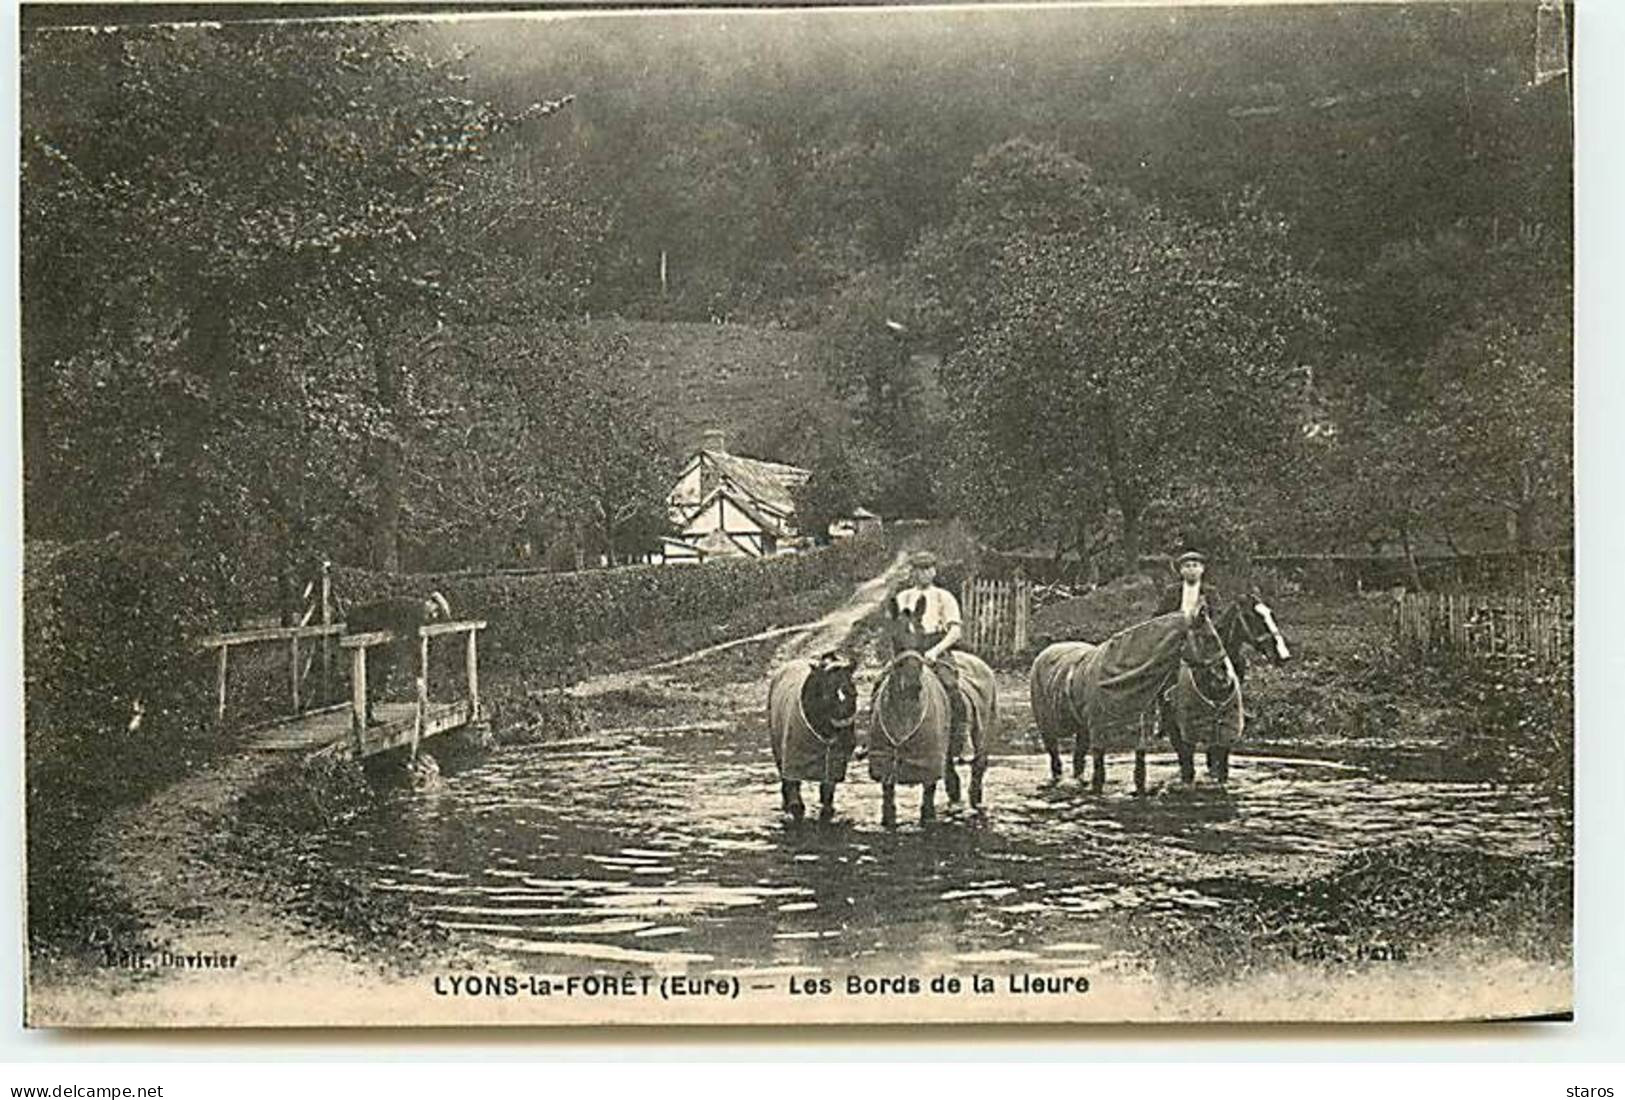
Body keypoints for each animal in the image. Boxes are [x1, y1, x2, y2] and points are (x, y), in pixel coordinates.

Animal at [763, 646, 858, 818]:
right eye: (827, 695)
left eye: (854, 694)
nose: (849, 741)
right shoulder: (792, 759)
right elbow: (793, 789)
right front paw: (794, 807)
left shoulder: (833, 765)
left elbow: (828, 792)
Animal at [871, 601, 994, 825]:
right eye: (894, 637)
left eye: (921, 635)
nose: (911, 684)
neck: (906, 712)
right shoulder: (885, 769)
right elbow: (888, 807)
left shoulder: (929, 768)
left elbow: (927, 807)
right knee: (952, 778)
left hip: (983, 740)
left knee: (977, 774)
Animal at [1027, 604, 1228, 792]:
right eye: (1210, 637)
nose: (1224, 676)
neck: (1120, 677)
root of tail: (1044, 652)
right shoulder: (1098, 735)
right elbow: (1099, 776)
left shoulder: (1137, 735)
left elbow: (1140, 774)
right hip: (1048, 729)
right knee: (1056, 761)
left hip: (1082, 729)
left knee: (1078, 760)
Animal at [1157, 591, 1293, 779]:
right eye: (1251, 616)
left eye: (1270, 614)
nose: (1283, 655)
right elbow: (1188, 756)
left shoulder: (1226, 717)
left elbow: (1221, 756)